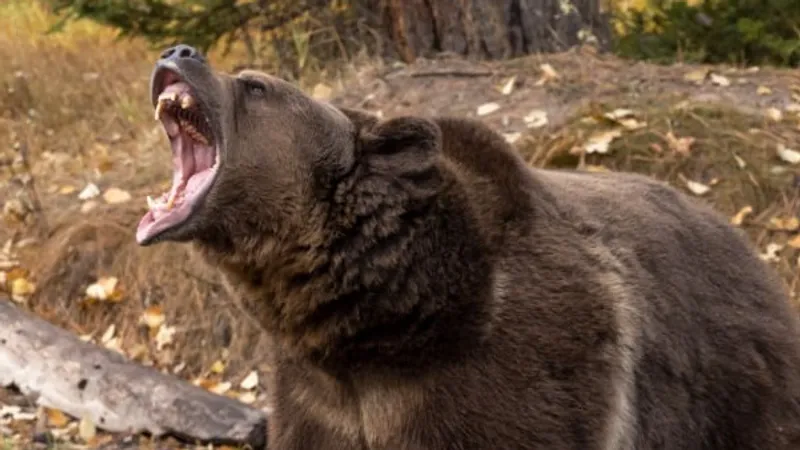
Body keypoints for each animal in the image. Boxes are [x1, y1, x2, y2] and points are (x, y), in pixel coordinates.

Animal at [136, 44, 800, 450]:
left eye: (254, 85)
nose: (178, 52)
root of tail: (742, 240)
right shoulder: (319, 398)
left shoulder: (515, 371)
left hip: (731, 386)